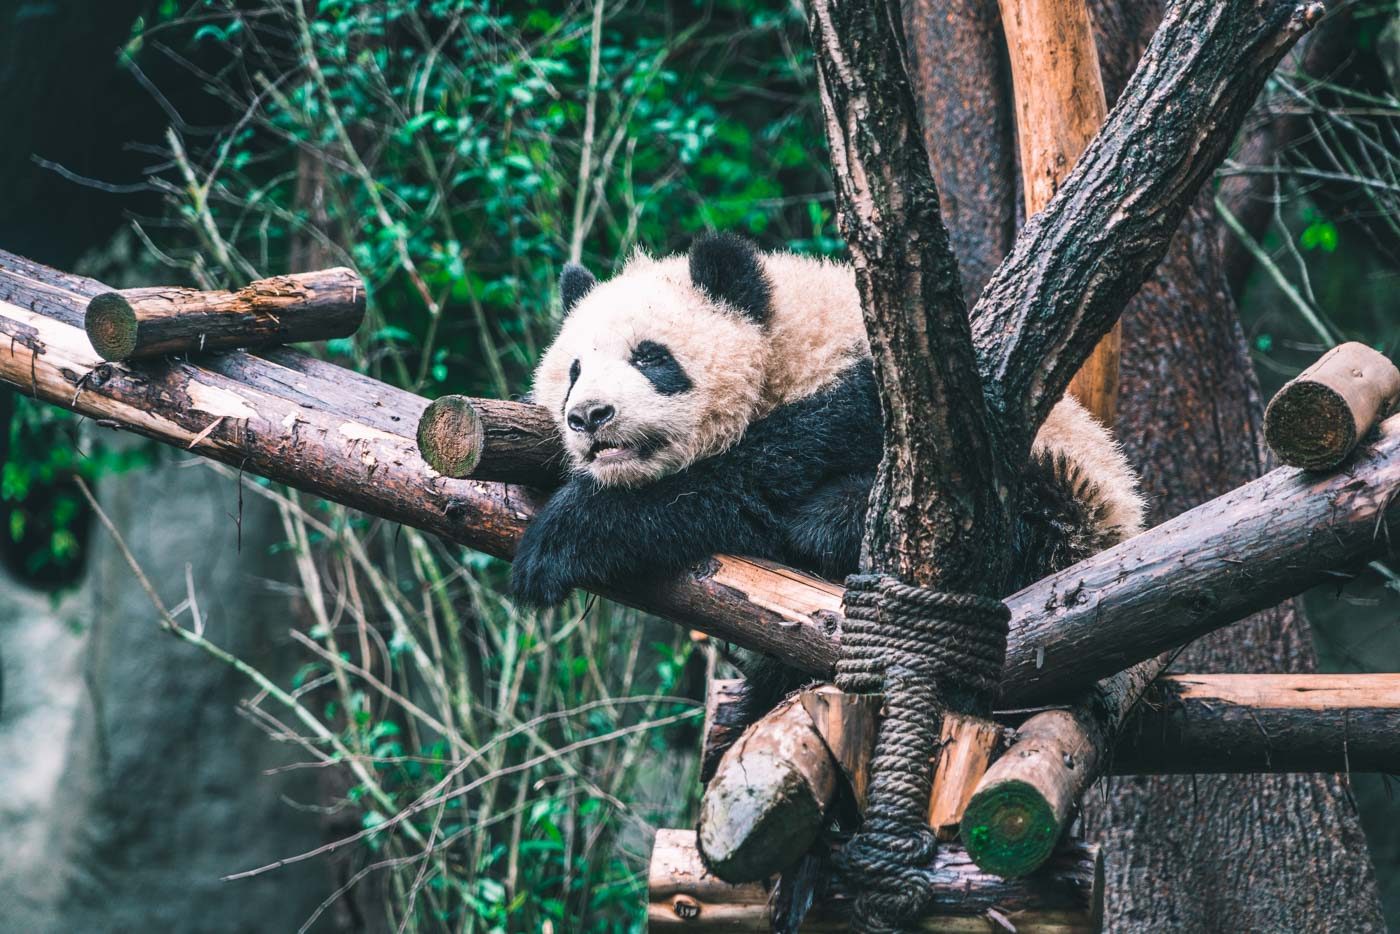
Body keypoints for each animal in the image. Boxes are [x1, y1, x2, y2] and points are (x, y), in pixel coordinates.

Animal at [509, 233, 1142, 716]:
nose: (589, 416)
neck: (793, 346)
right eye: (573, 370)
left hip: (1067, 506)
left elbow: (749, 482)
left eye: (649, 357)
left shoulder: (879, 406)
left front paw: (559, 541)